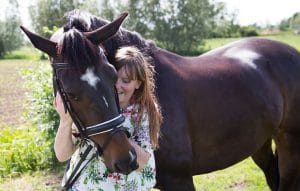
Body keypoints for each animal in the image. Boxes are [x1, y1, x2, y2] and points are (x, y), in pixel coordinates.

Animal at [53, 10, 300, 191]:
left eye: (113, 75)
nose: (125, 159)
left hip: (289, 142)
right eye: (70, 92)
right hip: (259, 140)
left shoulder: (179, 180)